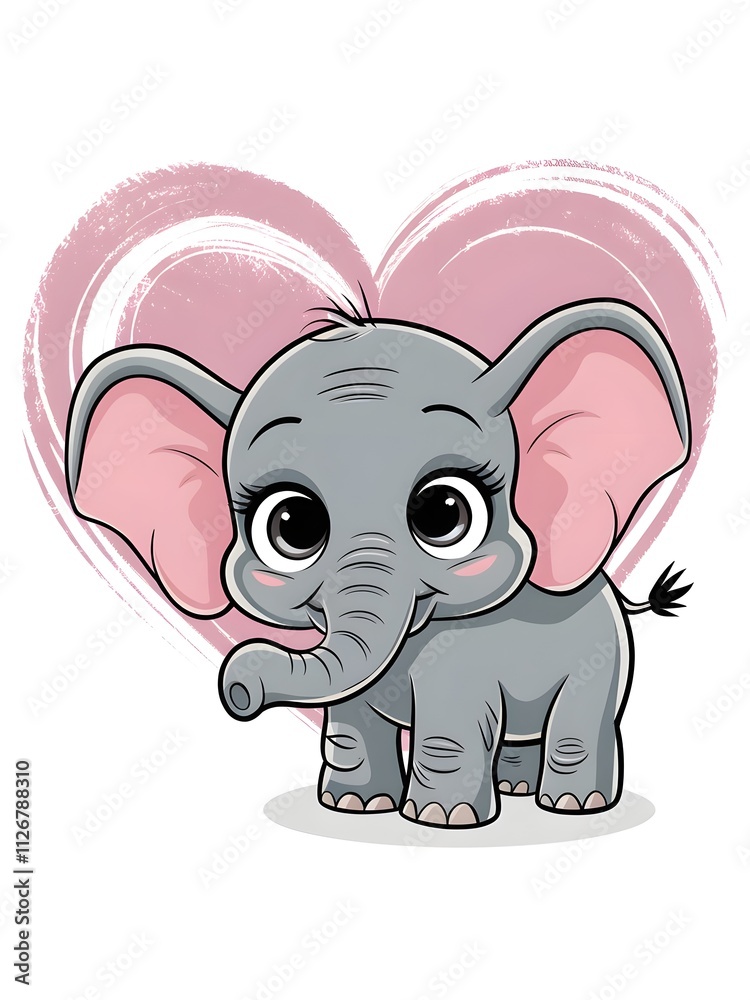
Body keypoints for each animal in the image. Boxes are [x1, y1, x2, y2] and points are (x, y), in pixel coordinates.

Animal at [65, 297, 691, 828]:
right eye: (292, 524)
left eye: (443, 512)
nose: (239, 688)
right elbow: (349, 717)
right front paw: (354, 806)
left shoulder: (463, 657)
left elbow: (450, 718)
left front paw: (441, 821)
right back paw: (516, 791)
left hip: (603, 659)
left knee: (580, 721)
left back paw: (573, 804)